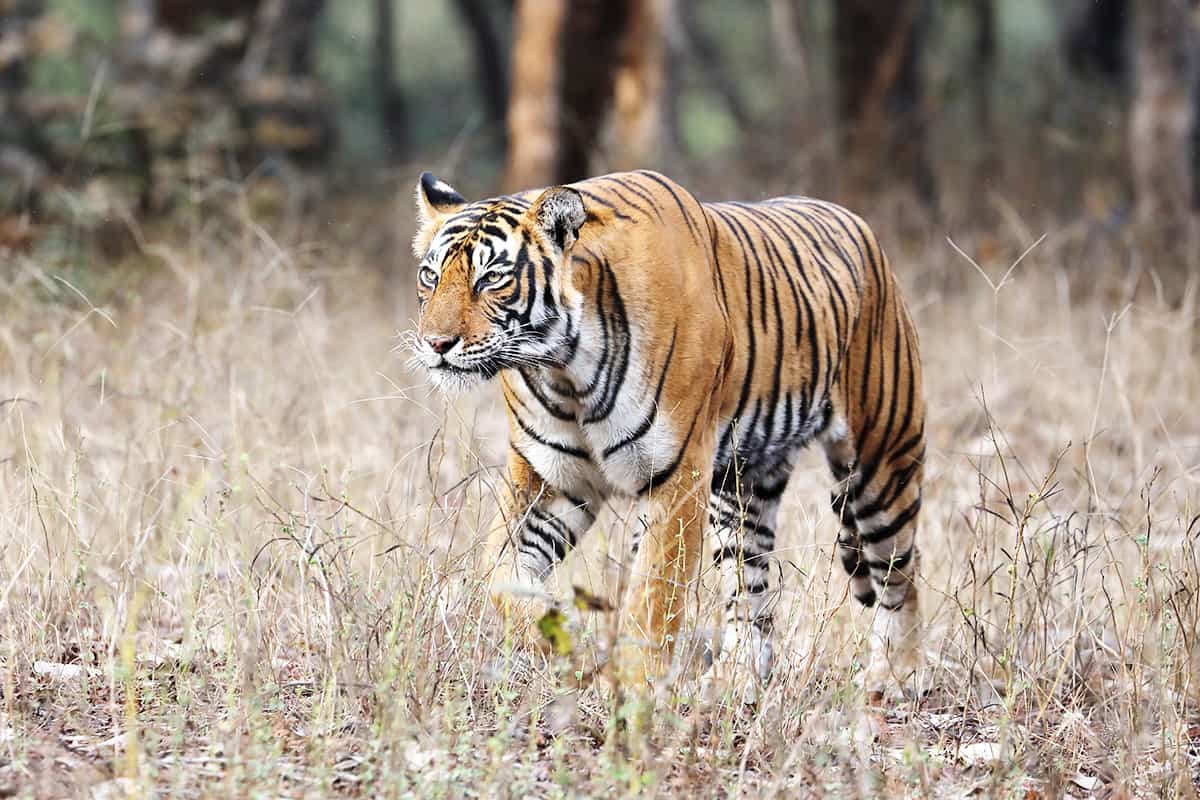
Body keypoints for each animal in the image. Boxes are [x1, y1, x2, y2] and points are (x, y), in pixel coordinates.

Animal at [412, 169, 926, 700]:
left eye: (491, 277)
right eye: (430, 276)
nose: (435, 344)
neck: (563, 367)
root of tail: (857, 223)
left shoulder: (676, 476)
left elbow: (654, 596)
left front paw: (636, 689)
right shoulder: (550, 479)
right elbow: (498, 579)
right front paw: (571, 639)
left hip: (881, 462)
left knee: (900, 574)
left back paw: (896, 675)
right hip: (741, 488)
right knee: (748, 587)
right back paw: (735, 679)